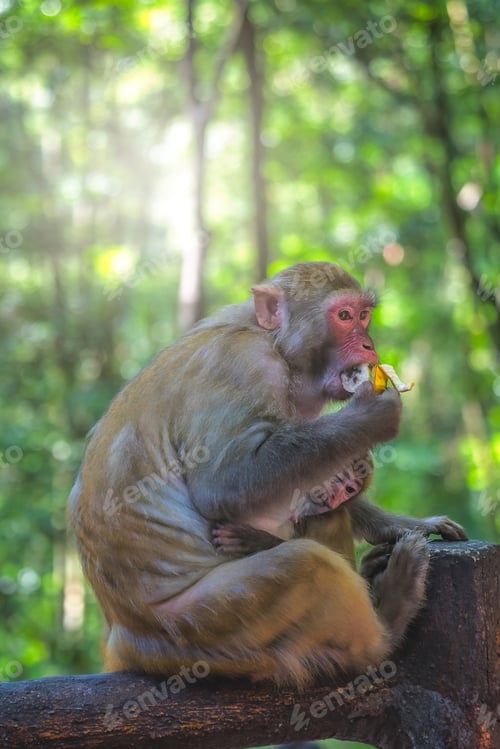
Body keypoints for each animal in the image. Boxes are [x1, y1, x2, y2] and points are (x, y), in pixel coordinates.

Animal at [69, 261, 467, 689]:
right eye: (344, 316)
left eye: (364, 315)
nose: (368, 345)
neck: (273, 342)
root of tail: (126, 642)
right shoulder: (245, 366)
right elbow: (222, 485)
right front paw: (371, 416)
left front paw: (405, 523)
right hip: (201, 628)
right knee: (307, 566)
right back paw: (388, 621)